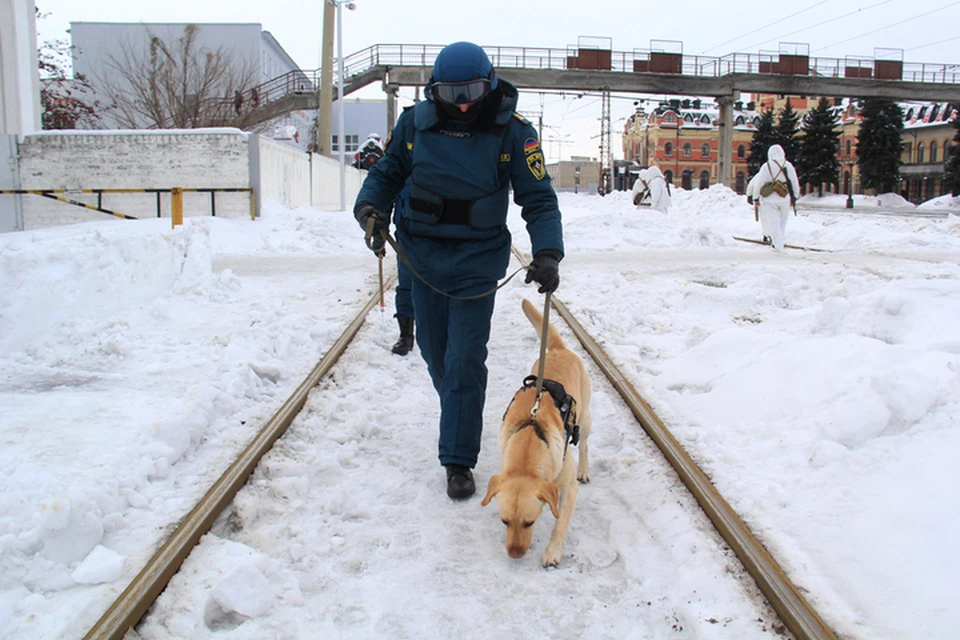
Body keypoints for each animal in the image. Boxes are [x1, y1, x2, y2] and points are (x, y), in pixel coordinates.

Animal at [480, 298, 592, 568]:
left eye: (529, 522)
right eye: (504, 521)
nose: (514, 554)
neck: (531, 437)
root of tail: (559, 349)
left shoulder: (568, 488)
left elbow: (560, 524)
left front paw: (552, 552)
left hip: (585, 418)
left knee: (583, 444)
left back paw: (584, 469)